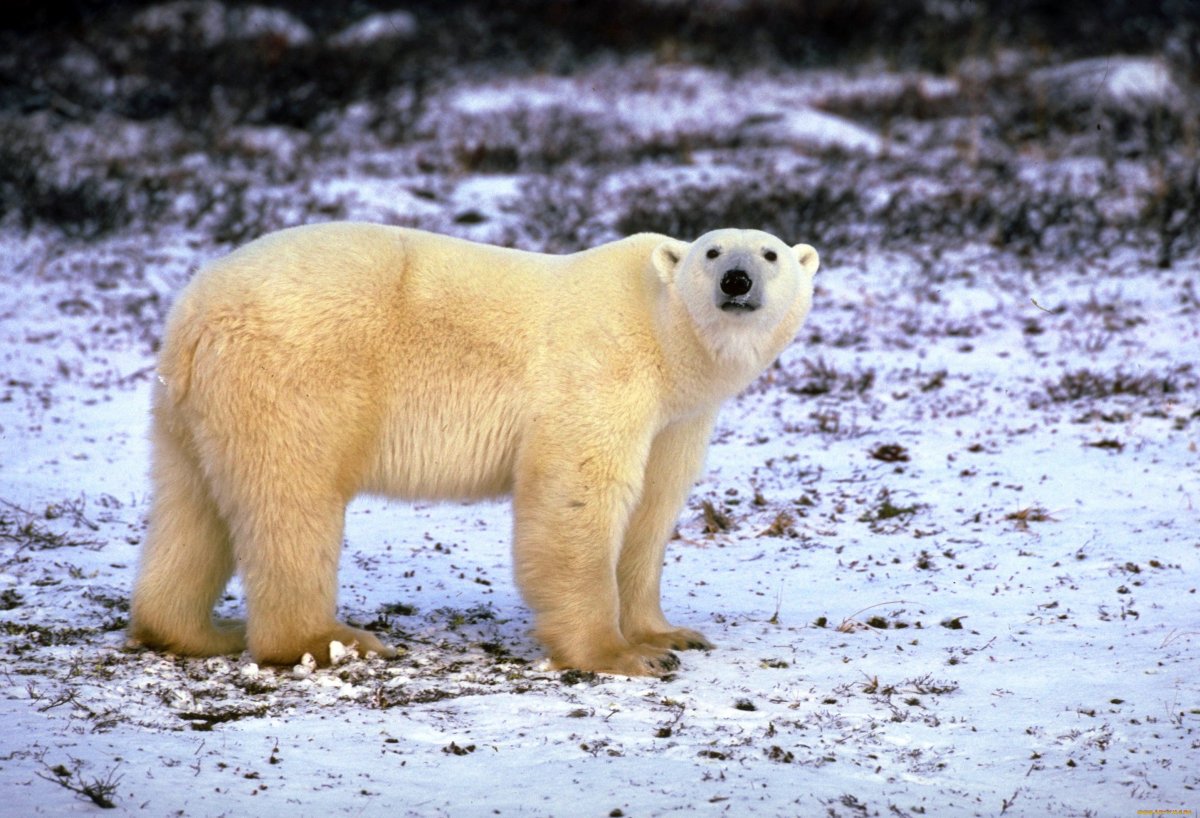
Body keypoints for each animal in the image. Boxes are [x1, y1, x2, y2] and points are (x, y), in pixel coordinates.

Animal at [128, 223, 819, 676]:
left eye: (769, 253)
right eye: (711, 251)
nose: (736, 281)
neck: (662, 332)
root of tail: (196, 311)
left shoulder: (679, 417)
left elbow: (652, 509)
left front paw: (669, 634)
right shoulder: (600, 366)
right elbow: (577, 495)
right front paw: (622, 655)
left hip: (189, 406)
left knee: (190, 505)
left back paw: (194, 632)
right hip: (298, 375)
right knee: (292, 499)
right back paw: (328, 640)